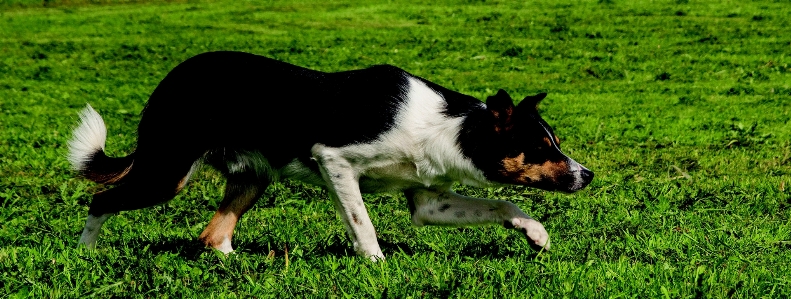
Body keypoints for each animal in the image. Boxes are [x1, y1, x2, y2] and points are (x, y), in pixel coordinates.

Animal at [68, 51, 592, 260]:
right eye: (541, 148)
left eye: (555, 144)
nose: (586, 175)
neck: (450, 125)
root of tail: (171, 80)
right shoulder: (335, 162)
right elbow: (364, 225)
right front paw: (377, 266)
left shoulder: (429, 203)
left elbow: (503, 203)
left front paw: (535, 233)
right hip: (167, 172)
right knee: (100, 200)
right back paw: (86, 252)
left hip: (252, 177)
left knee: (212, 235)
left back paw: (238, 263)